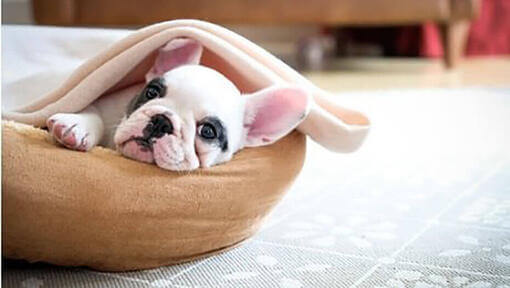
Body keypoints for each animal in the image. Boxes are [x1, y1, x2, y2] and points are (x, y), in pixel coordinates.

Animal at [46, 37, 310, 170]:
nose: (161, 121)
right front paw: (77, 127)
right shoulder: (106, 101)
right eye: (151, 92)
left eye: (208, 131)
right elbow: (93, 111)